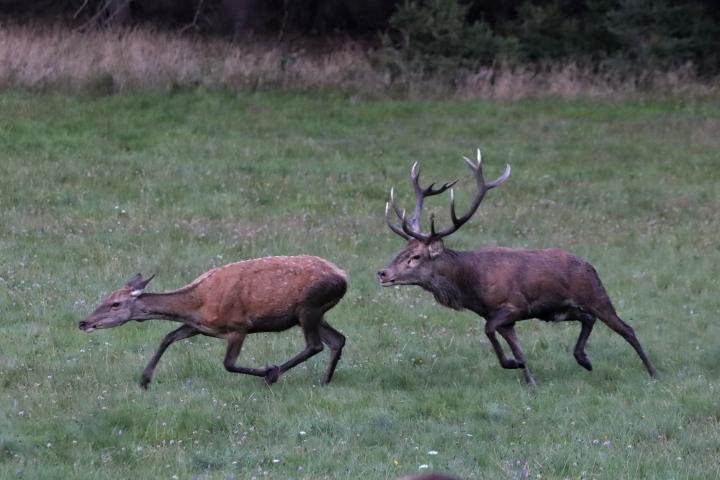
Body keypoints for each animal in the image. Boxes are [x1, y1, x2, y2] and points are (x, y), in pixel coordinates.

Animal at [79, 256, 348, 388]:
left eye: (115, 304)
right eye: (105, 298)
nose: (83, 322)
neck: (197, 305)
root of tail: (344, 277)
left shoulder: (239, 326)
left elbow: (228, 364)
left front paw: (267, 370)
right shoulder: (197, 326)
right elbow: (167, 337)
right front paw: (145, 380)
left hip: (309, 306)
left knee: (315, 345)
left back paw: (274, 376)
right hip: (313, 313)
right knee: (338, 339)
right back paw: (324, 382)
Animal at [376, 149, 660, 382]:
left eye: (416, 257)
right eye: (401, 251)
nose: (382, 273)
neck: (472, 289)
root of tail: (590, 265)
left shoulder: (514, 306)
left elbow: (489, 331)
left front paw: (514, 365)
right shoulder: (501, 317)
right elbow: (516, 347)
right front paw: (527, 377)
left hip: (594, 294)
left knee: (627, 329)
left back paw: (653, 373)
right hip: (559, 309)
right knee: (588, 318)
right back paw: (584, 359)